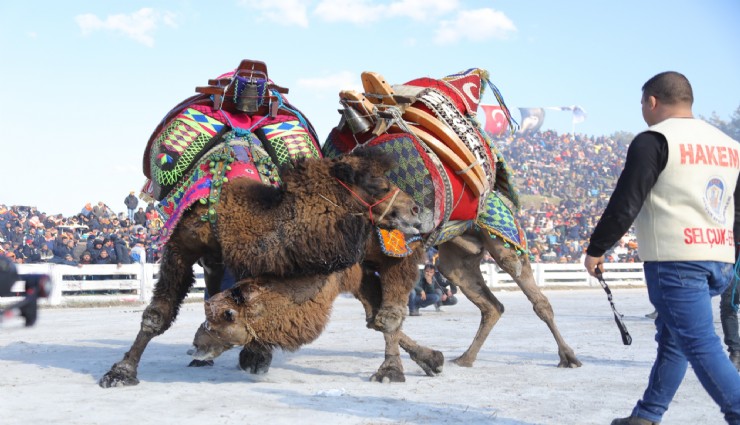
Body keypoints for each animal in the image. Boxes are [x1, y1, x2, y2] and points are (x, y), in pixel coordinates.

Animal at [98, 151, 422, 386]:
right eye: (378, 184)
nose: (415, 210)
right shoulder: (183, 247)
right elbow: (157, 315)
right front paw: (121, 372)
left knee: (376, 313)